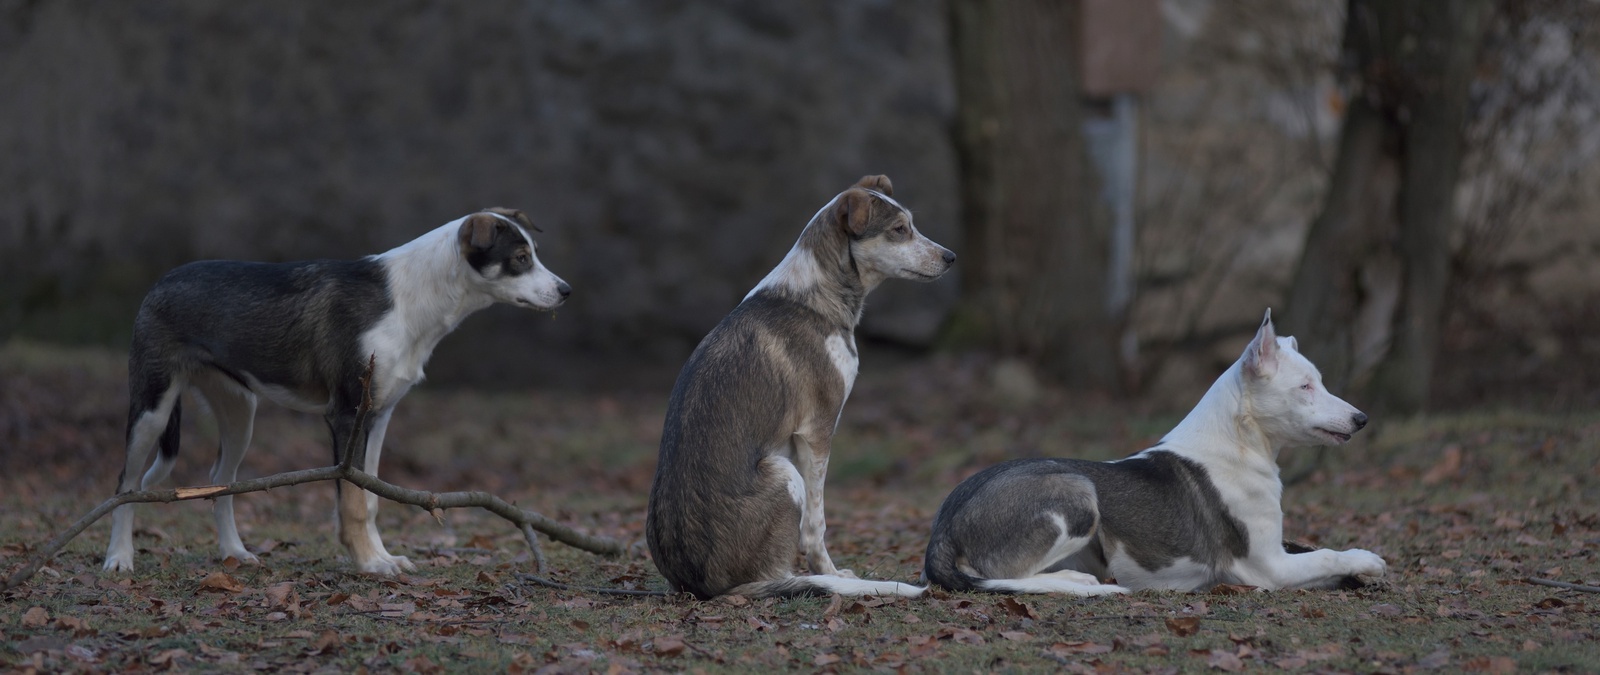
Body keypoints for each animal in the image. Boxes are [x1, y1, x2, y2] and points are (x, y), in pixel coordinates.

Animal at [103, 208, 570, 575]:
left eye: (535, 254)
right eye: (520, 259)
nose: (566, 291)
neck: (410, 301)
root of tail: (161, 281)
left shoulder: (379, 416)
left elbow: (371, 497)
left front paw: (383, 557)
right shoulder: (347, 415)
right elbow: (353, 502)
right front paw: (369, 563)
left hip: (240, 413)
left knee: (221, 479)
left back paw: (233, 552)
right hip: (152, 408)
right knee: (126, 484)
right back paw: (119, 558)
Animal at [646, 175, 954, 599]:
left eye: (912, 225)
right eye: (899, 230)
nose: (951, 257)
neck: (815, 296)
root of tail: (701, 587)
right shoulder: (817, 433)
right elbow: (816, 524)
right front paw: (832, 572)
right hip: (783, 471)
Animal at [923, 309, 1385, 594]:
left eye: (1318, 381)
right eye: (1305, 386)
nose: (1362, 418)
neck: (1240, 444)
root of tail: (942, 527)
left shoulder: (1278, 554)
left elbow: (1312, 548)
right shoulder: (1267, 567)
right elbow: (1327, 553)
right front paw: (1367, 559)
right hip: (1077, 492)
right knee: (1003, 577)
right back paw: (1077, 581)